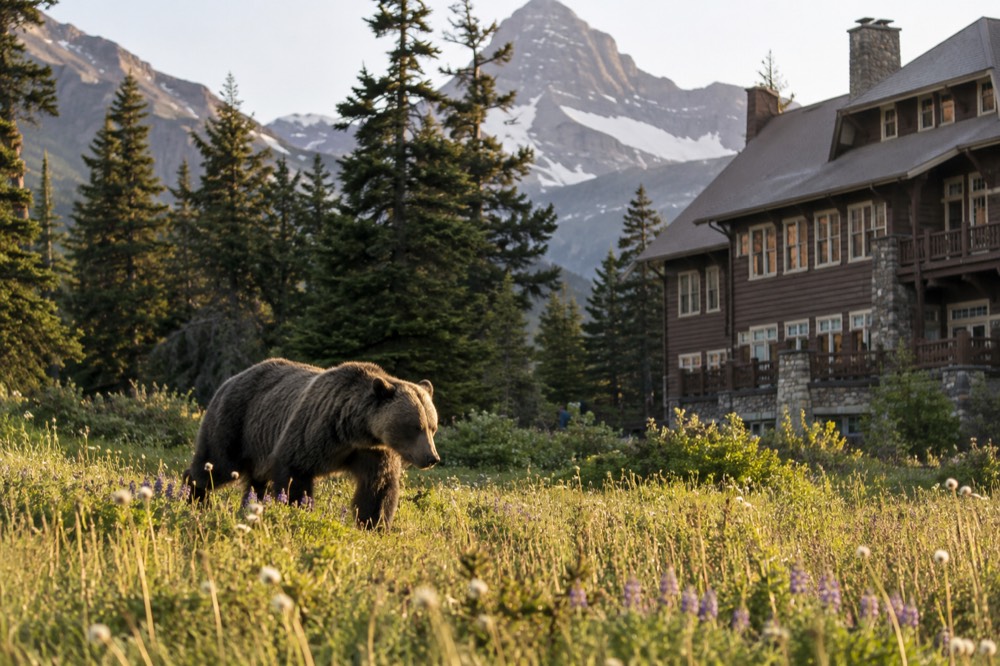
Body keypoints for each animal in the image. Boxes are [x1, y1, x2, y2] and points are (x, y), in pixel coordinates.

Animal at [182, 358, 439, 529]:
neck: (354, 431)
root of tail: (230, 380)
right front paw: (299, 510)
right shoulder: (314, 431)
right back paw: (192, 497)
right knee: (216, 464)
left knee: (255, 483)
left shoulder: (372, 452)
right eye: (415, 427)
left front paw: (373, 525)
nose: (432, 458)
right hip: (235, 423)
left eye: (432, 426)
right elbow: (295, 473)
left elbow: (377, 488)